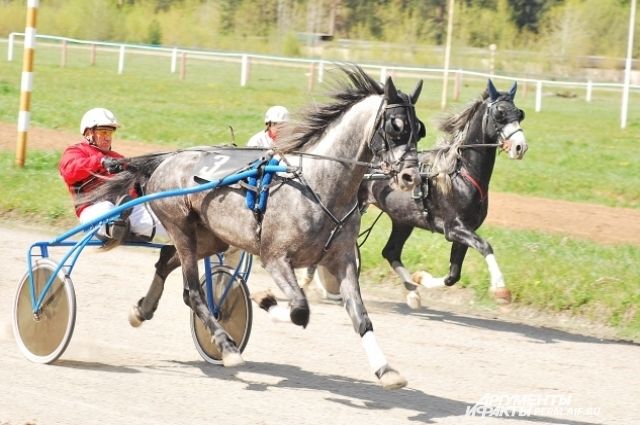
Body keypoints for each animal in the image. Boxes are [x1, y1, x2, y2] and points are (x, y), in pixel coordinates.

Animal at [85, 65, 424, 388]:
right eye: (395, 127)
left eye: (419, 130)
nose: (412, 177)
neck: (317, 185)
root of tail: (167, 160)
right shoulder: (275, 258)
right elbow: (300, 309)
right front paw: (265, 299)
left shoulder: (343, 260)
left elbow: (361, 317)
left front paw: (386, 371)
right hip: (180, 227)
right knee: (191, 291)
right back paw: (226, 346)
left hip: (210, 236)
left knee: (165, 260)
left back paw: (142, 310)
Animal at [310, 78, 524, 308]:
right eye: (500, 113)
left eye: (520, 114)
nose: (520, 146)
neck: (460, 174)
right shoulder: (454, 228)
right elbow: (485, 246)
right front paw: (501, 288)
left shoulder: (465, 231)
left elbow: (453, 275)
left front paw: (420, 278)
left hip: (403, 219)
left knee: (390, 251)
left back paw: (412, 292)